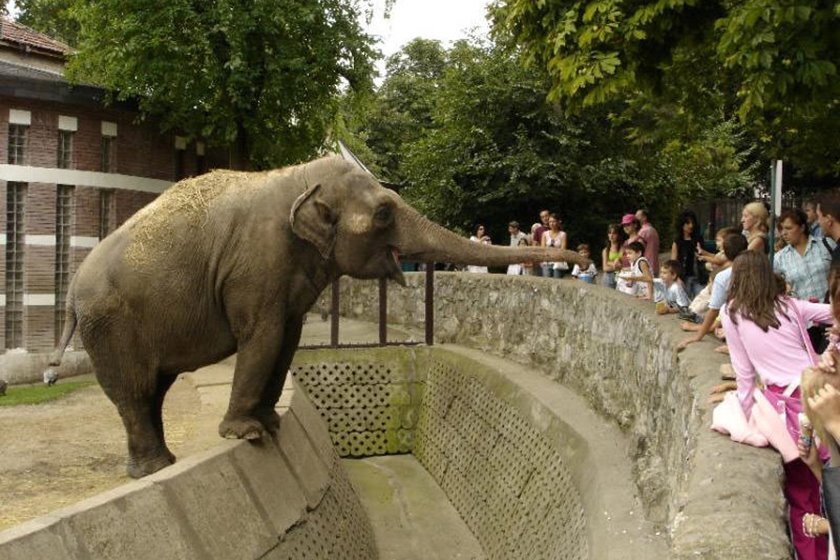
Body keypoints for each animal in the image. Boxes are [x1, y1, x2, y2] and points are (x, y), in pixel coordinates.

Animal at [49, 155, 588, 480]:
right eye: (385, 212)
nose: (581, 257)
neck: (297, 175)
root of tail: (72, 290)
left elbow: (286, 337)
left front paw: (270, 423)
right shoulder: (256, 263)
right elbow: (262, 336)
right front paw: (248, 435)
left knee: (151, 392)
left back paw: (157, 467)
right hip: (110, 325)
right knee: (135, 393)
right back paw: (157, 468)